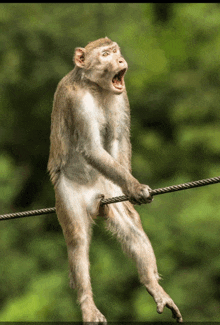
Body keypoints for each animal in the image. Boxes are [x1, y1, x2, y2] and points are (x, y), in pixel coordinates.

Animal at [47, 37, 182, 322]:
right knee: (77, 238)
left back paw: (153, 286)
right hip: (67, 194)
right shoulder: (77, 100)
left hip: (107, 189)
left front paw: (131, 187)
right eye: (106, 54)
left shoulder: (122, 96)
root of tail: (95, 200)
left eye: (116, 51)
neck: (95, 87)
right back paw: (88, 305)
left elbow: (119, 140)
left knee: (130, 226)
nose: (120, 60)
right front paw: (135, 186)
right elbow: (91, 148)